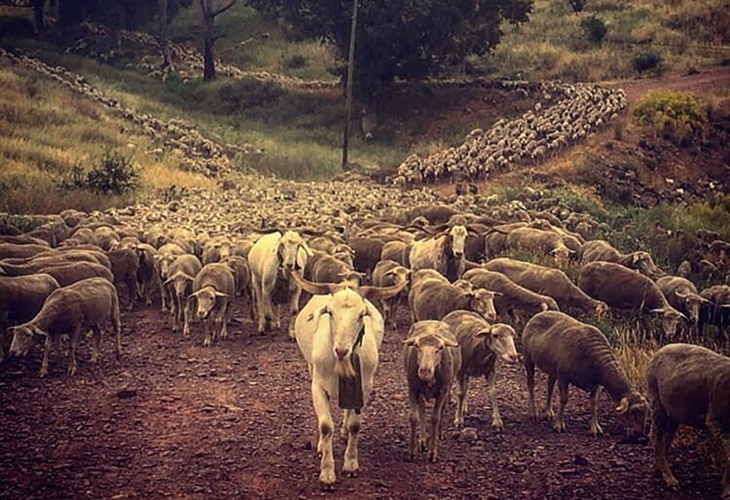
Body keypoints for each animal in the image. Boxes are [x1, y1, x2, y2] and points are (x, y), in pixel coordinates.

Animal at [400, 320, 458, 460]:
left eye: (440, 348)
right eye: (416, 346)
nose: (425, 371)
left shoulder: (442, 391)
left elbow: (435, 418)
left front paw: (432, 452)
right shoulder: (412, 388)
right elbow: (414, 417)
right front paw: (413, 450)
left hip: (447, 387)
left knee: (441, 411)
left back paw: (439, 434)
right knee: (422, 409)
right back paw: (422, 440)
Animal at [644, 344, 724, 496]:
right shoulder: (716, 420)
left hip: (674, 410)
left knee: (666, 436)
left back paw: (660, 467)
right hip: (657, 401)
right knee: (657, 438)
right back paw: (669, 479)